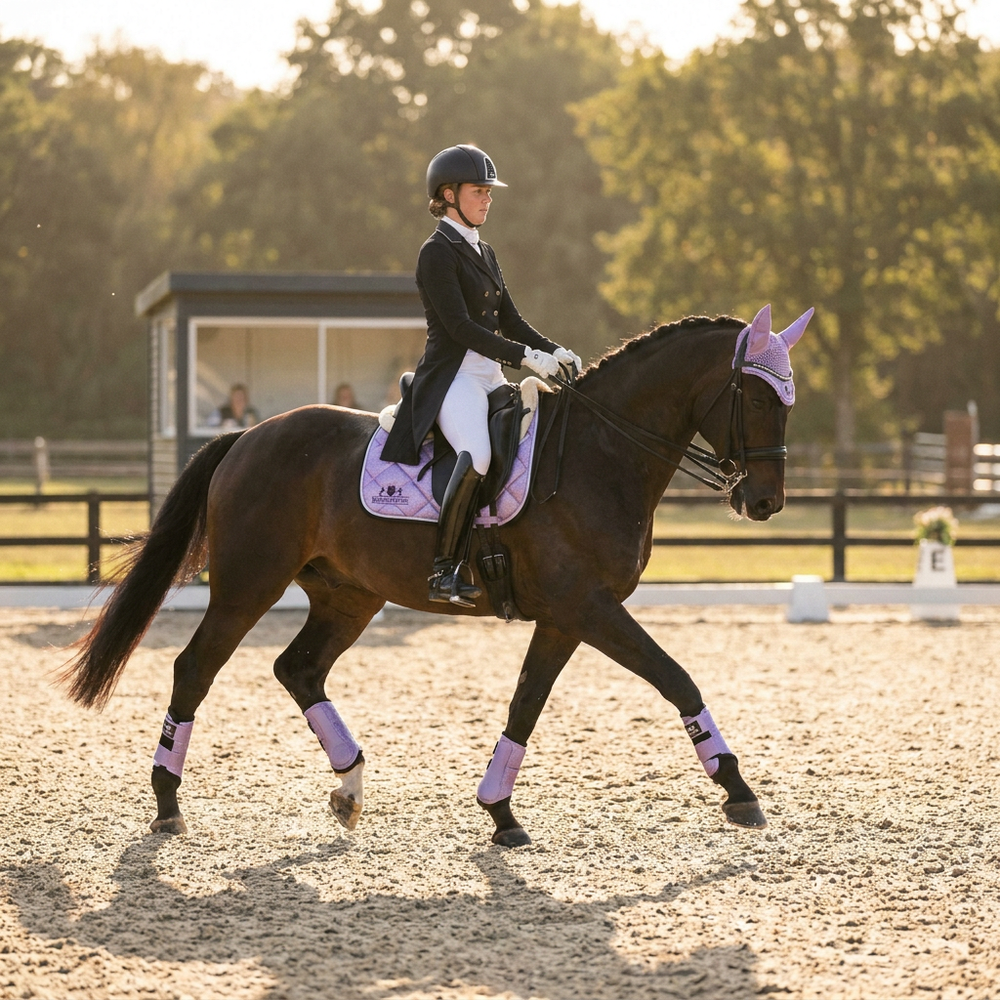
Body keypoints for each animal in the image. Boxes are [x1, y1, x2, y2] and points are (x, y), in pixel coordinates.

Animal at [61, 304, 811, 847]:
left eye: (787, 402)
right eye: (755, 398)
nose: (765, 503)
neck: (602, 452)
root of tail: (248, 436)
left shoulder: (566, 616)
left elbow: (525, 705)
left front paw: (500, 813)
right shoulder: (590, 608)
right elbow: (676, 678)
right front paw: (738, 790)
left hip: (349, 595)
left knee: (298, 669)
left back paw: (349, 788)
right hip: (249, 584)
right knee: (195, 668)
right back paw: (167, 804)